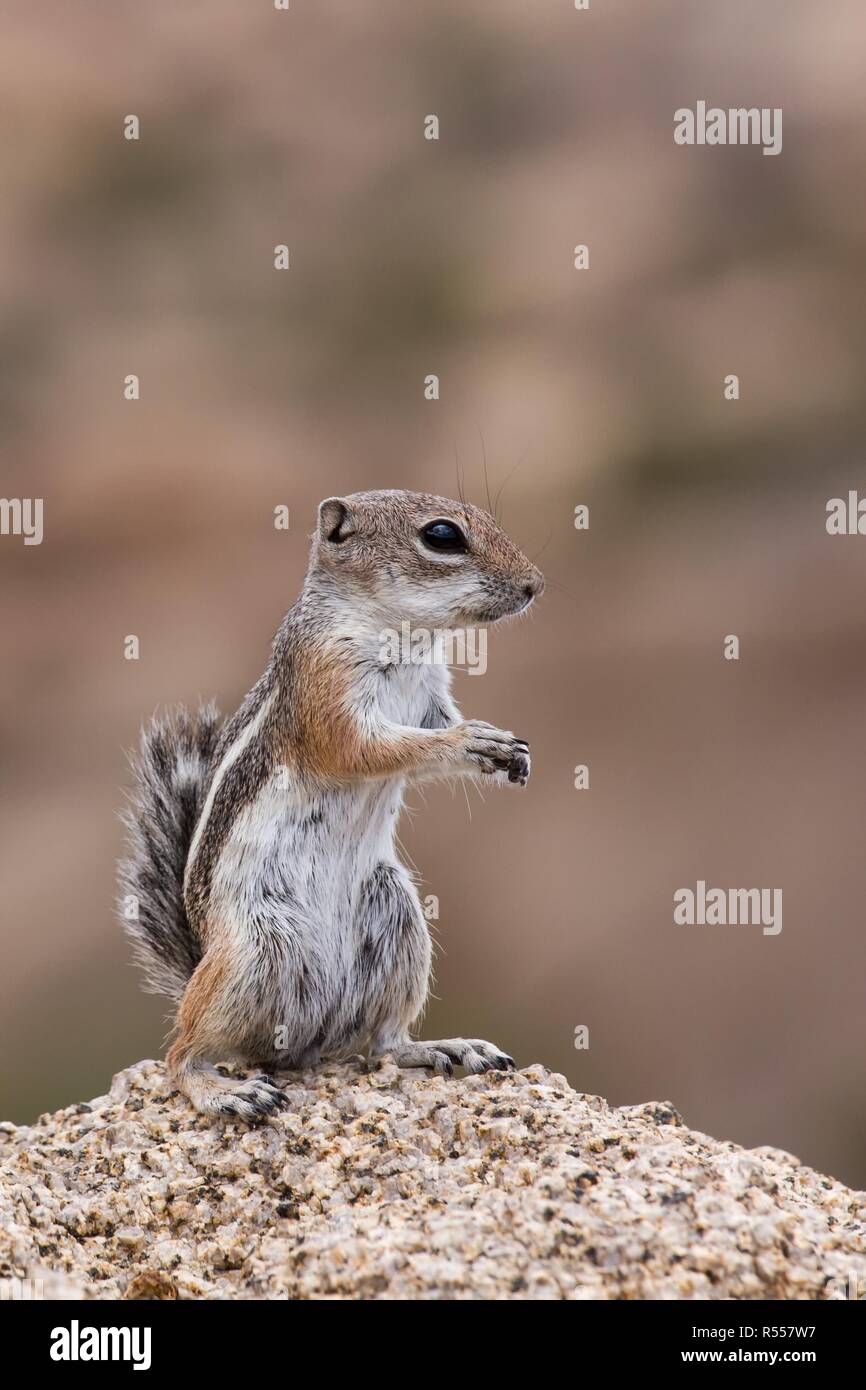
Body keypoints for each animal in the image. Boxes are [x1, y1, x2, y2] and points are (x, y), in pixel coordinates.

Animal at [118, 489, 544, 1117]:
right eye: (442, 536)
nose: (534, 585)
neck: (404, 637)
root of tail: (310, 1044)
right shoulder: (328, 685)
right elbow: (365, 748)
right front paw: (471, 742)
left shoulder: (431, 697)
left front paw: (509, 752)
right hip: (254, 953)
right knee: (183, 1051)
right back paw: (224, 1090)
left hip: (396, 921)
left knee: (382, 1042)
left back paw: (447, 1047)